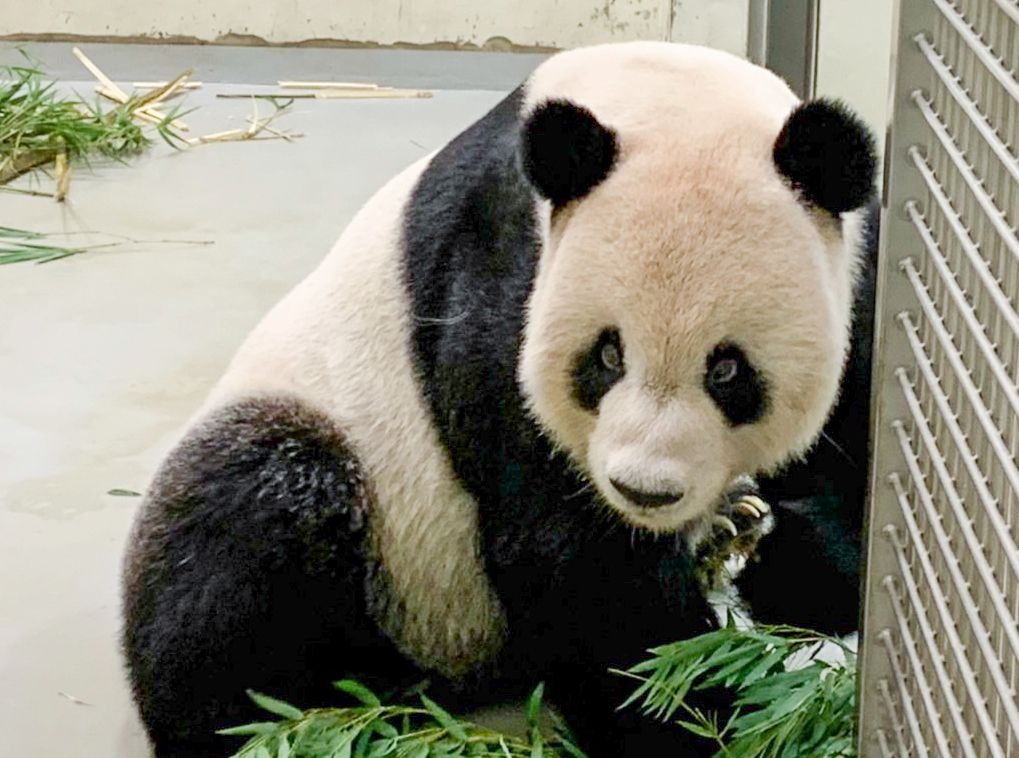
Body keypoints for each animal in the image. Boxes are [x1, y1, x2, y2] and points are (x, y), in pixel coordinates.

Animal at [123, 43, 876, 758]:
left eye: (726, 370)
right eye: (607, 356)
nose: (645, 492)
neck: (669, 96)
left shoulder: (854, 278)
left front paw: (787, 565)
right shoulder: (501, 277)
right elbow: (572, 557)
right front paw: (702, 720)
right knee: (255, 507)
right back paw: (300, 716)